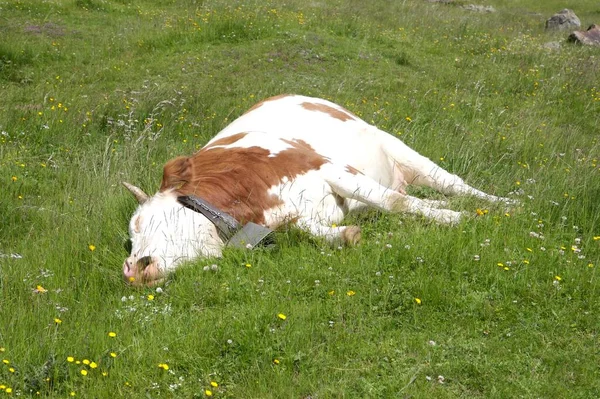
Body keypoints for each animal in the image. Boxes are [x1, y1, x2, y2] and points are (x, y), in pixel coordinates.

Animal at [123, 95, 510, 286]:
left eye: (140, 224)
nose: (131, 271)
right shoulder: (288, 219)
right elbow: (316, 231)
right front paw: (346, 234)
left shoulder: (329, 167)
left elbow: (394, 202)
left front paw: (455, 219)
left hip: (399, 148)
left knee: (452, 184)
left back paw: (505, 204)